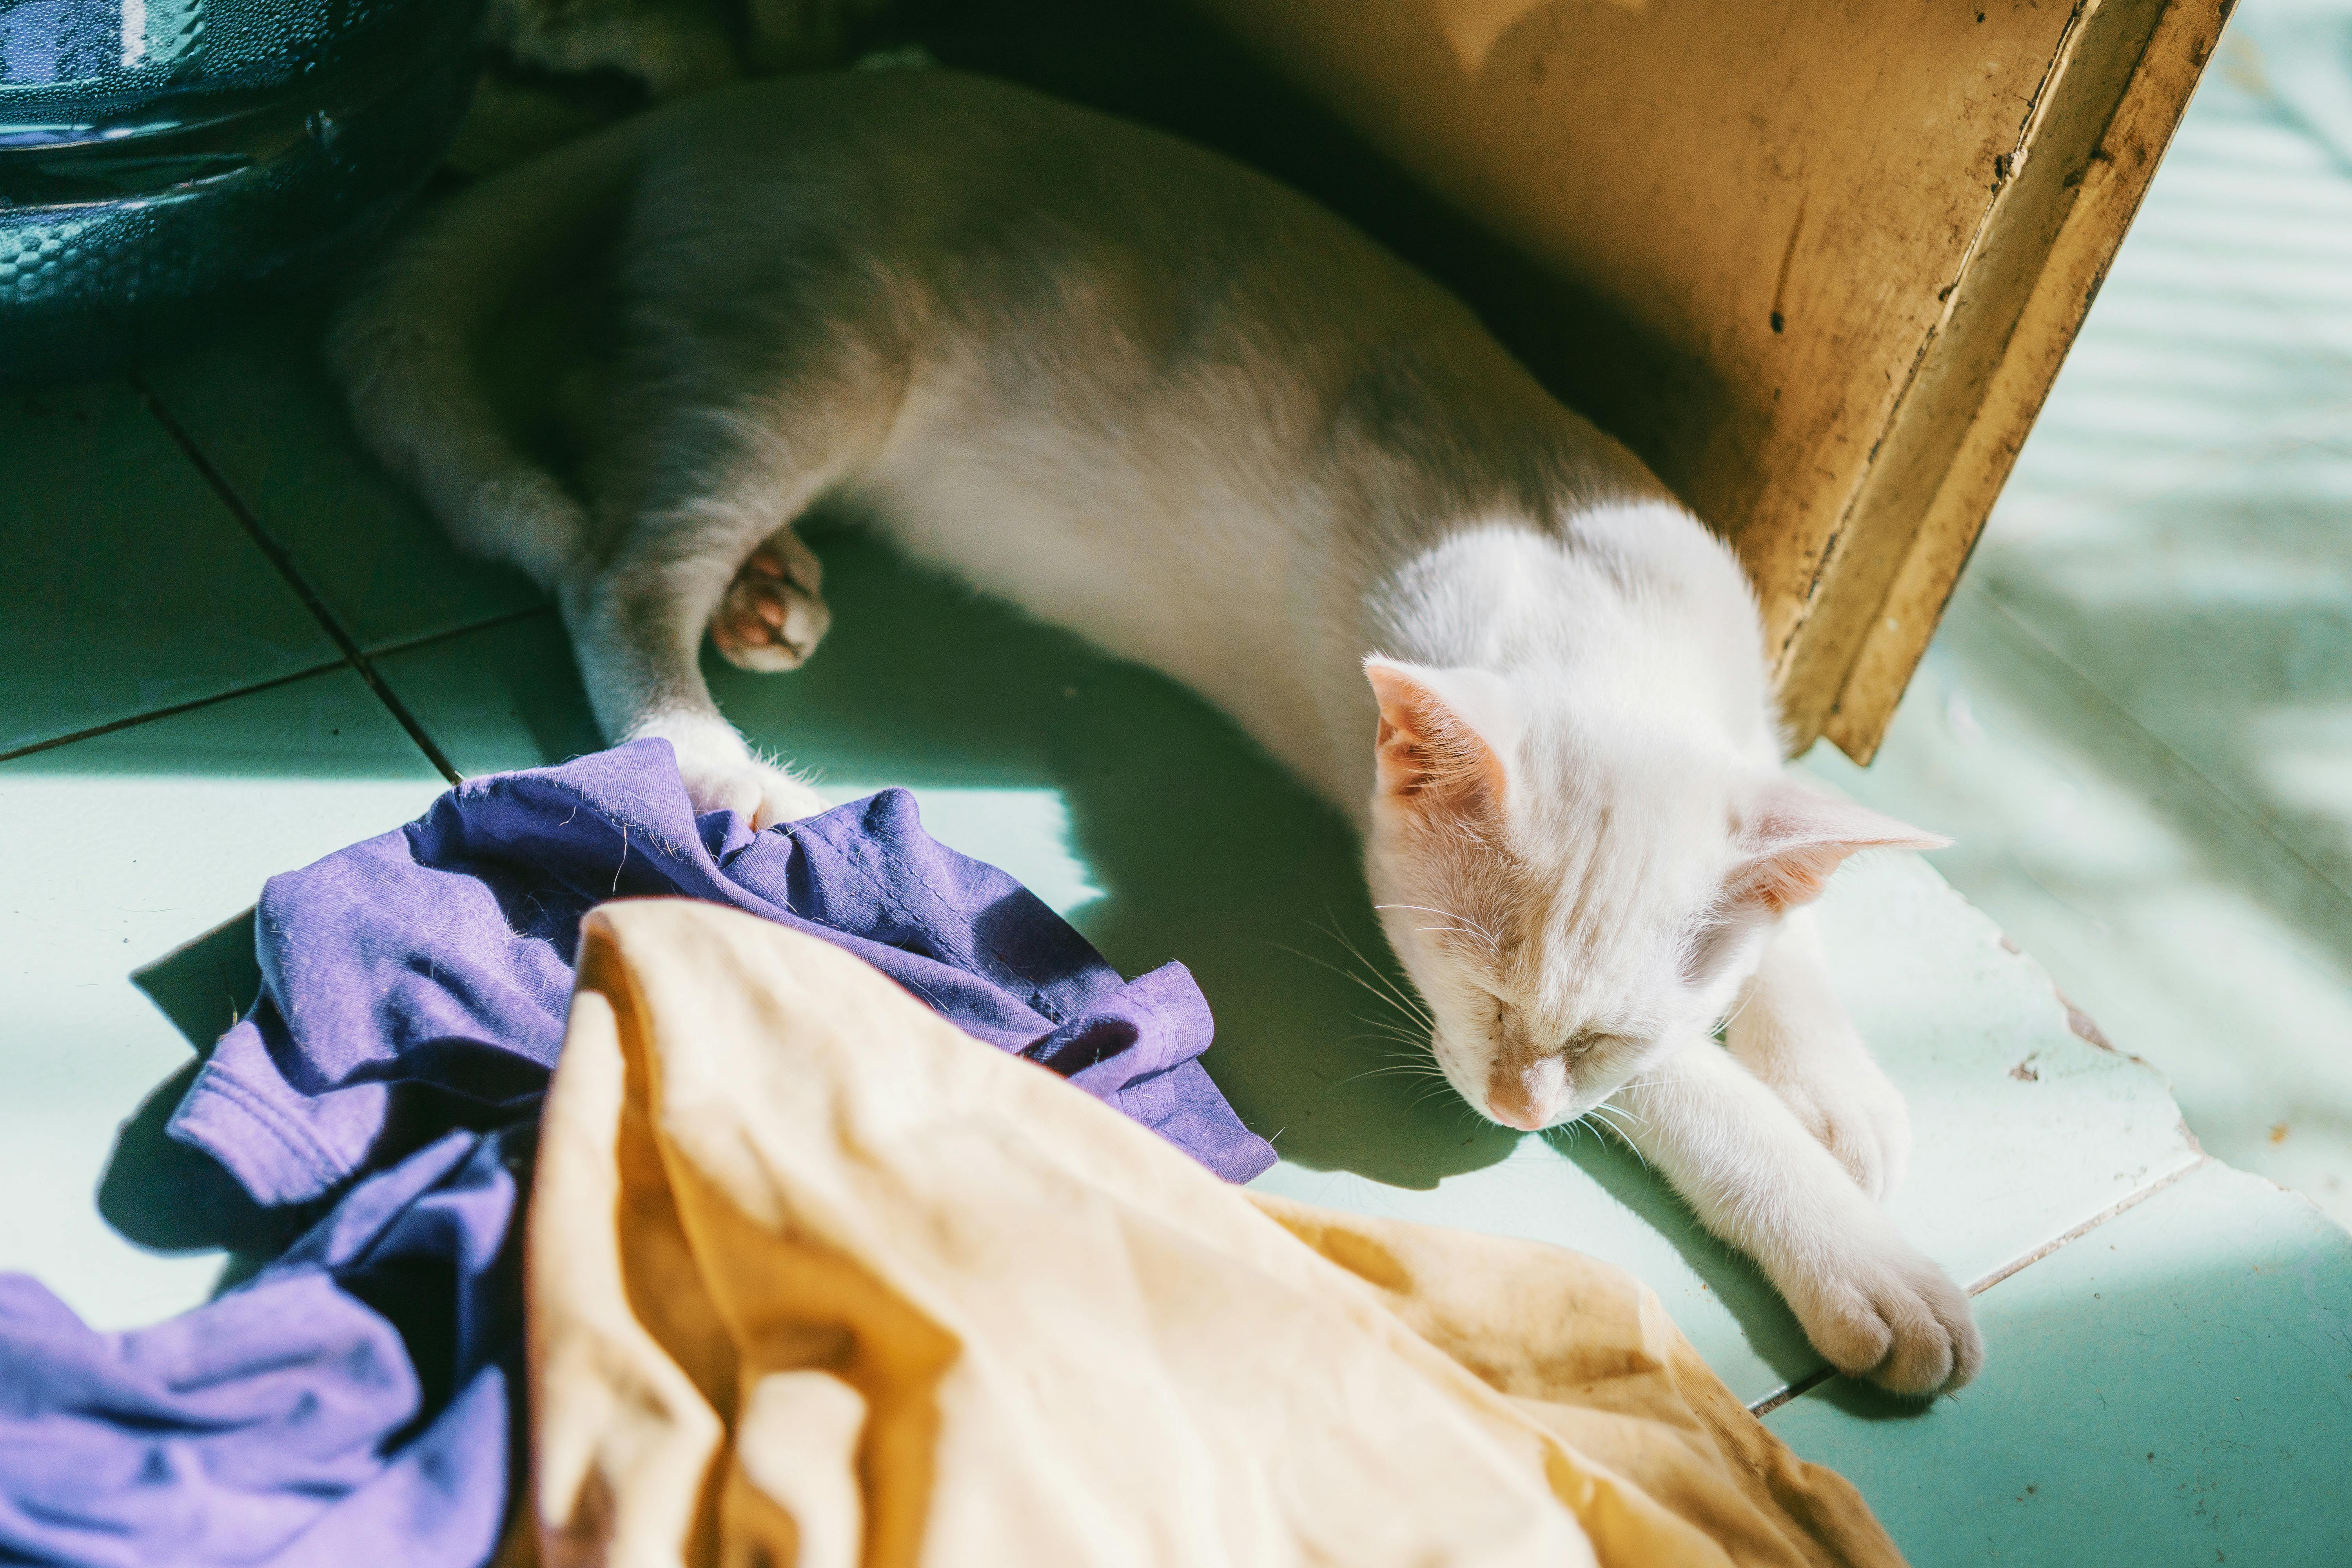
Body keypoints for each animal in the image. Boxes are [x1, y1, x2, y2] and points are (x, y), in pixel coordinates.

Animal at [332, 67, 1985, 1392]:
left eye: (1596, 1029)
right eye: (1478, 989)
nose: (1514, 1106)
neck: (1603, 611)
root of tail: (744, 102)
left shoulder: (1746, 721)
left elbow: (1790, 917)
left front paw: (1837, 1086)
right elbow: (1697, 1095)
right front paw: (1861, 1253)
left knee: (611, 411)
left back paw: (765, 588)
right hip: (814, 354)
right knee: (615, 553)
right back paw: (715, 743)